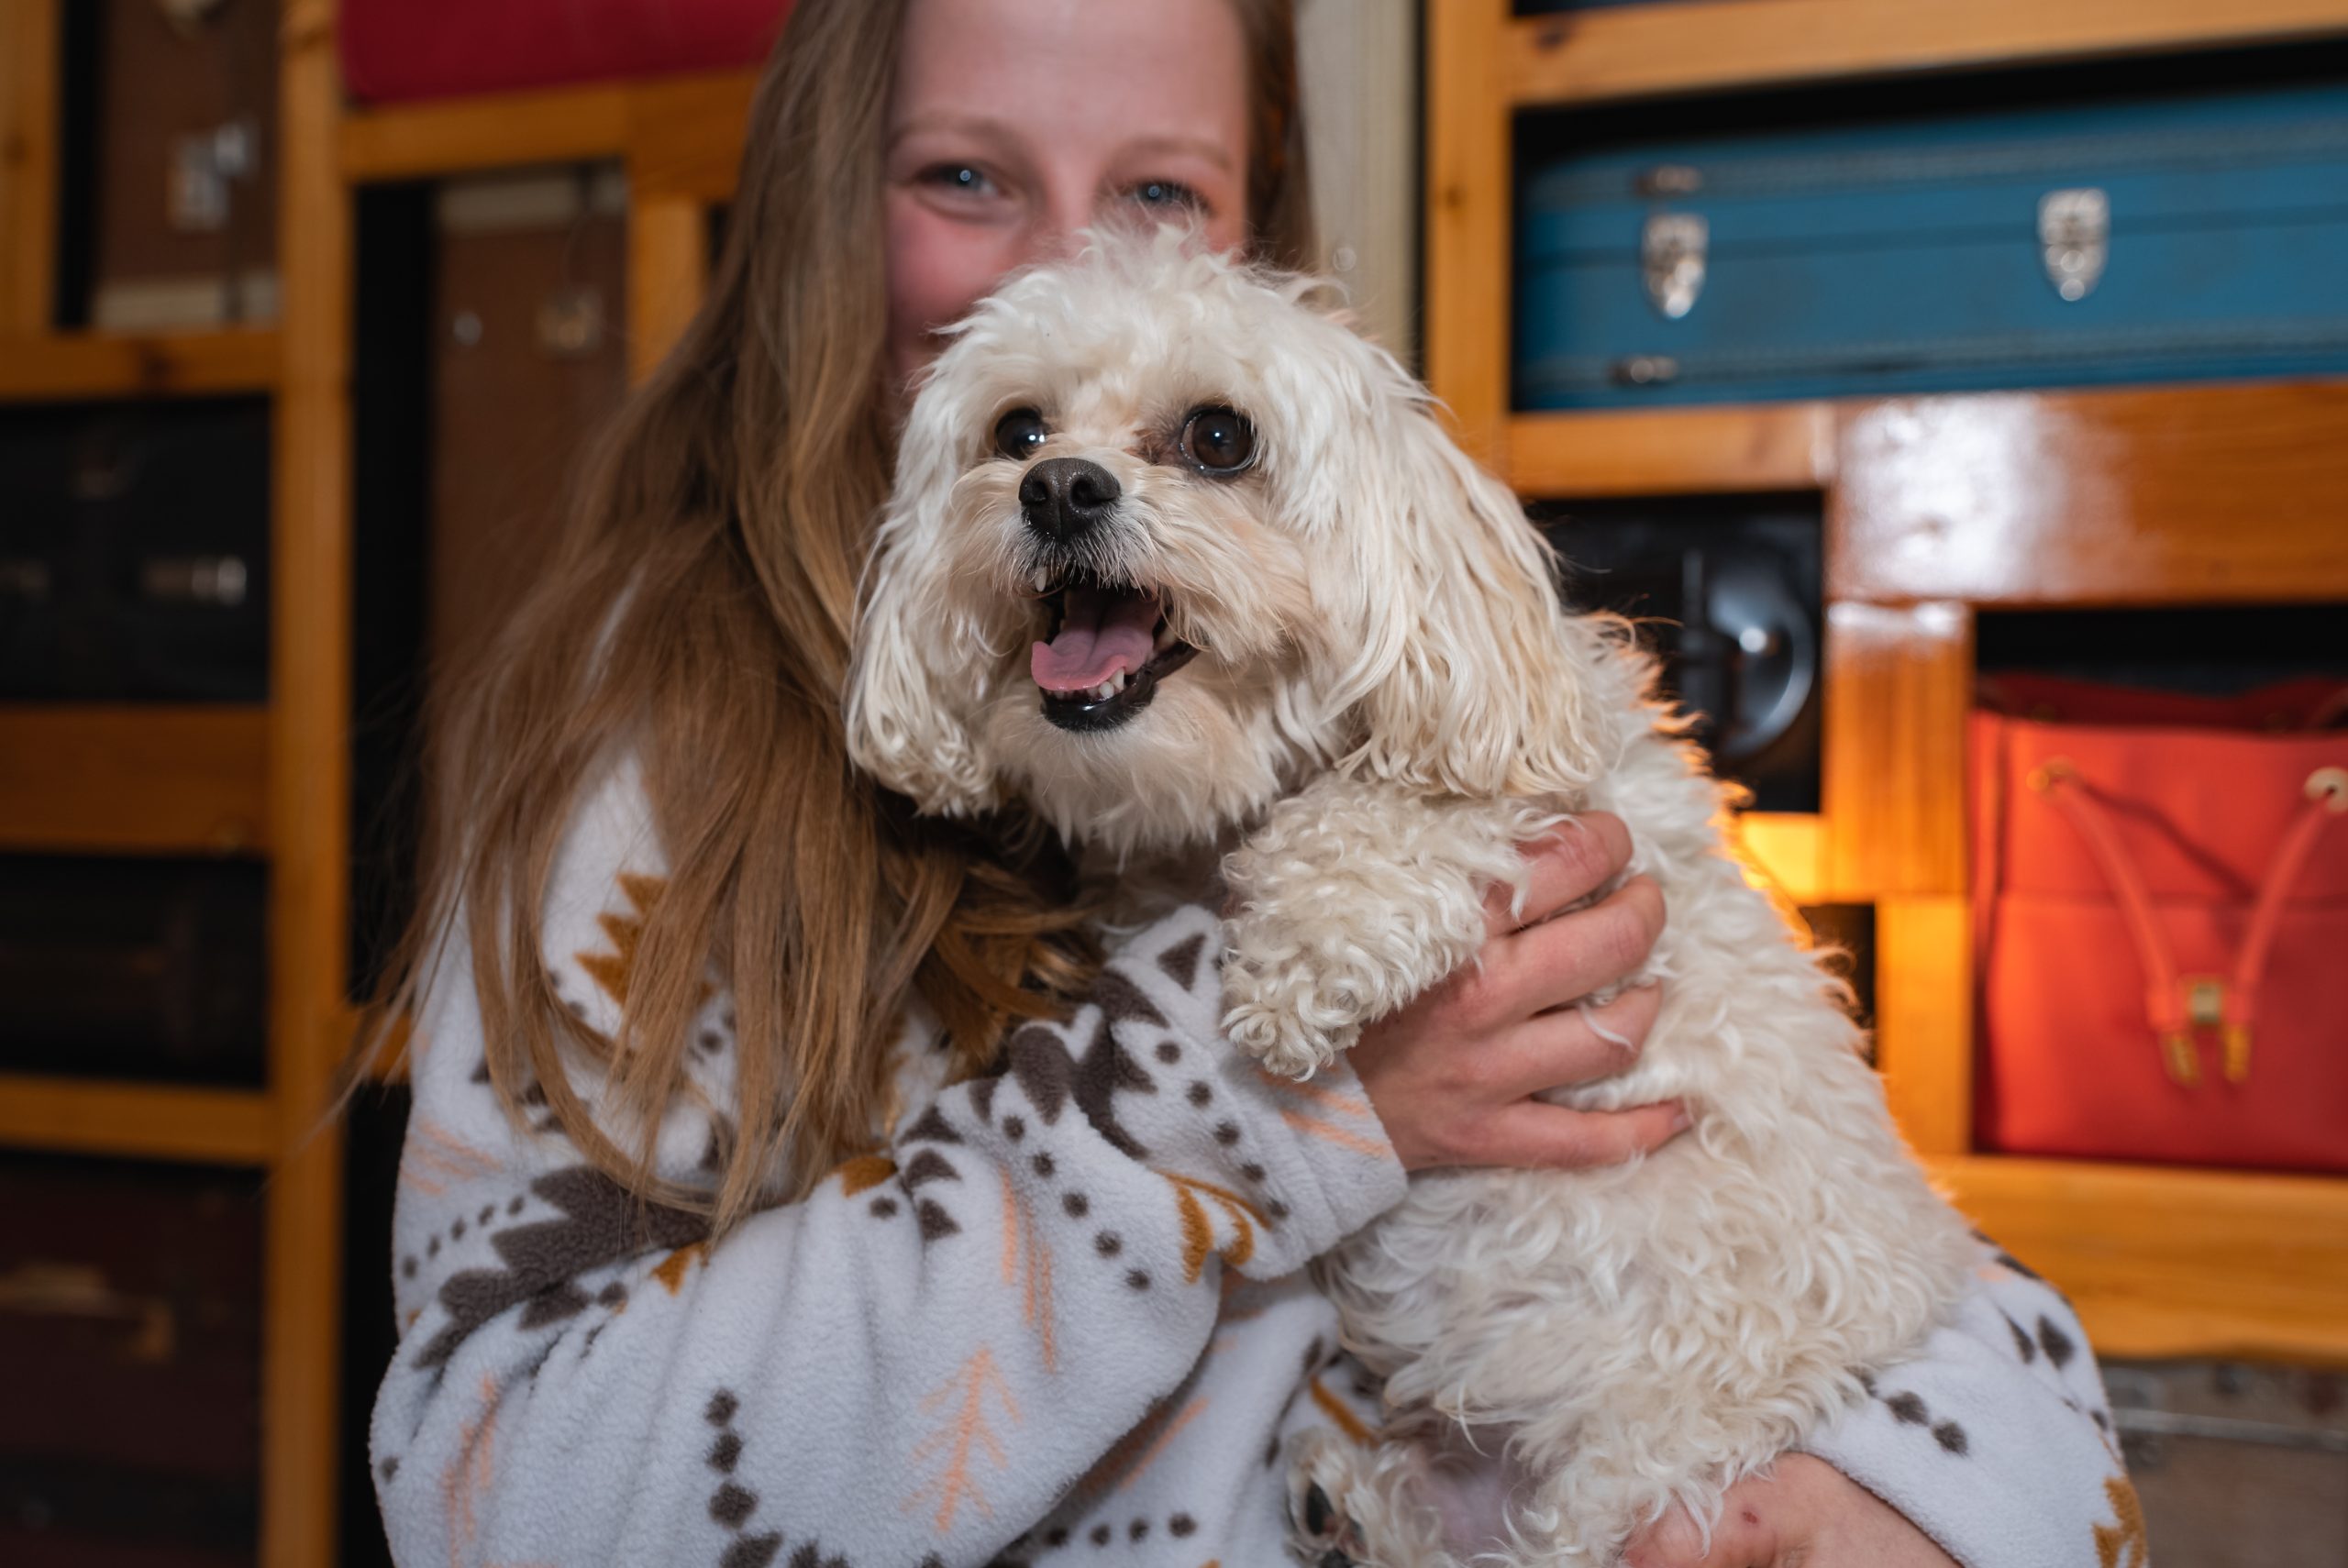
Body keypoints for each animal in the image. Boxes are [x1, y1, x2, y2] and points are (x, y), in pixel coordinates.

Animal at [845, 236, 1981, 1568]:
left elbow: (1396, 812)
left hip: (1643, 1471)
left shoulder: (1538, 793)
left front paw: (1294, 968)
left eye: (1220, 437)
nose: (1059, 489)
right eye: (1017, 429)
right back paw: (1351, 1513)